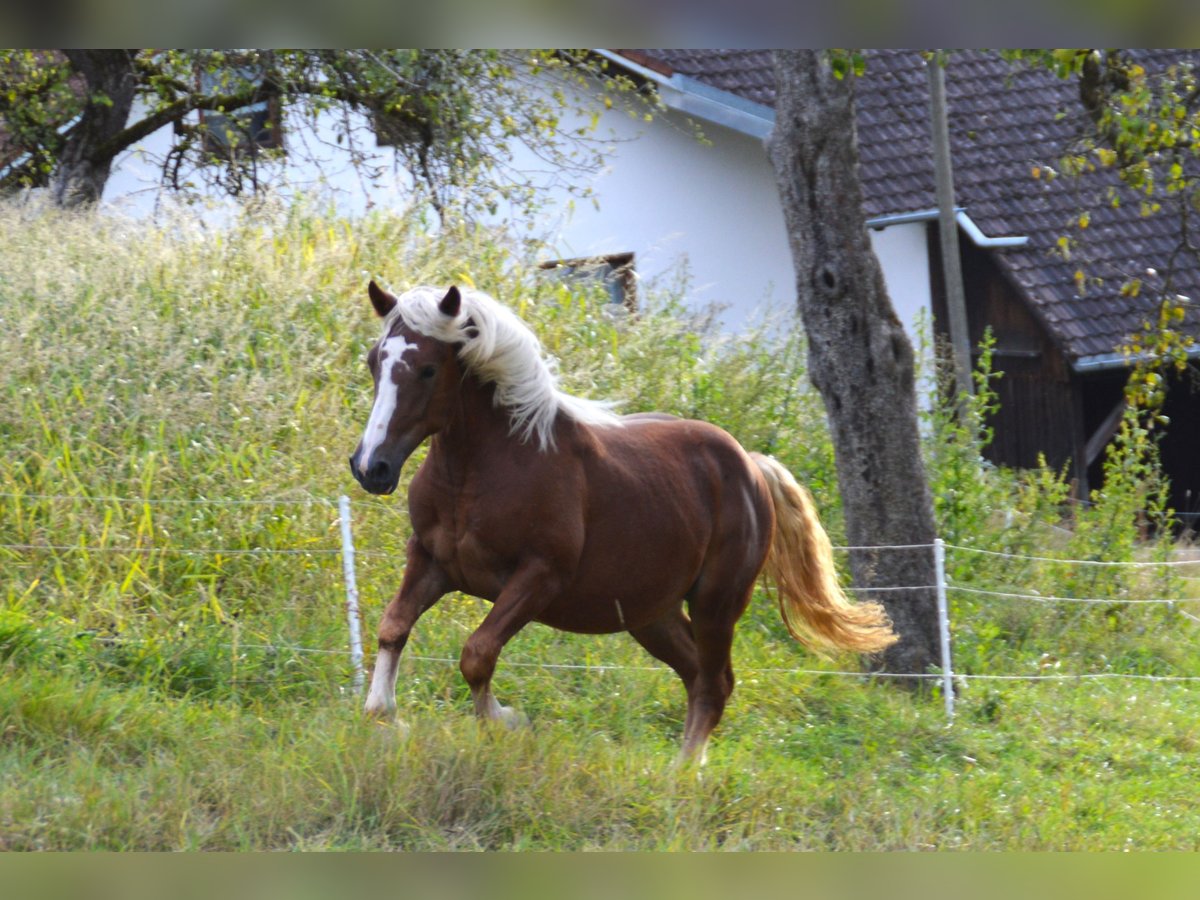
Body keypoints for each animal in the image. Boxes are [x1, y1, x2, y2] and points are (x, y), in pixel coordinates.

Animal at [348, 282, 892, 763]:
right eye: (375, 361)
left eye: (427, 369)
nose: (372, 467)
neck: (486, 468)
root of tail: (752, 466)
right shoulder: (431, 560)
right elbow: (393, 628)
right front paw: (383, 713)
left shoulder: (540, 577)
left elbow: (477, 653)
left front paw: (507, 722)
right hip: (652, 614)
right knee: (699, 677)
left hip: (717, 604)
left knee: (715, 684)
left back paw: (681, 781)